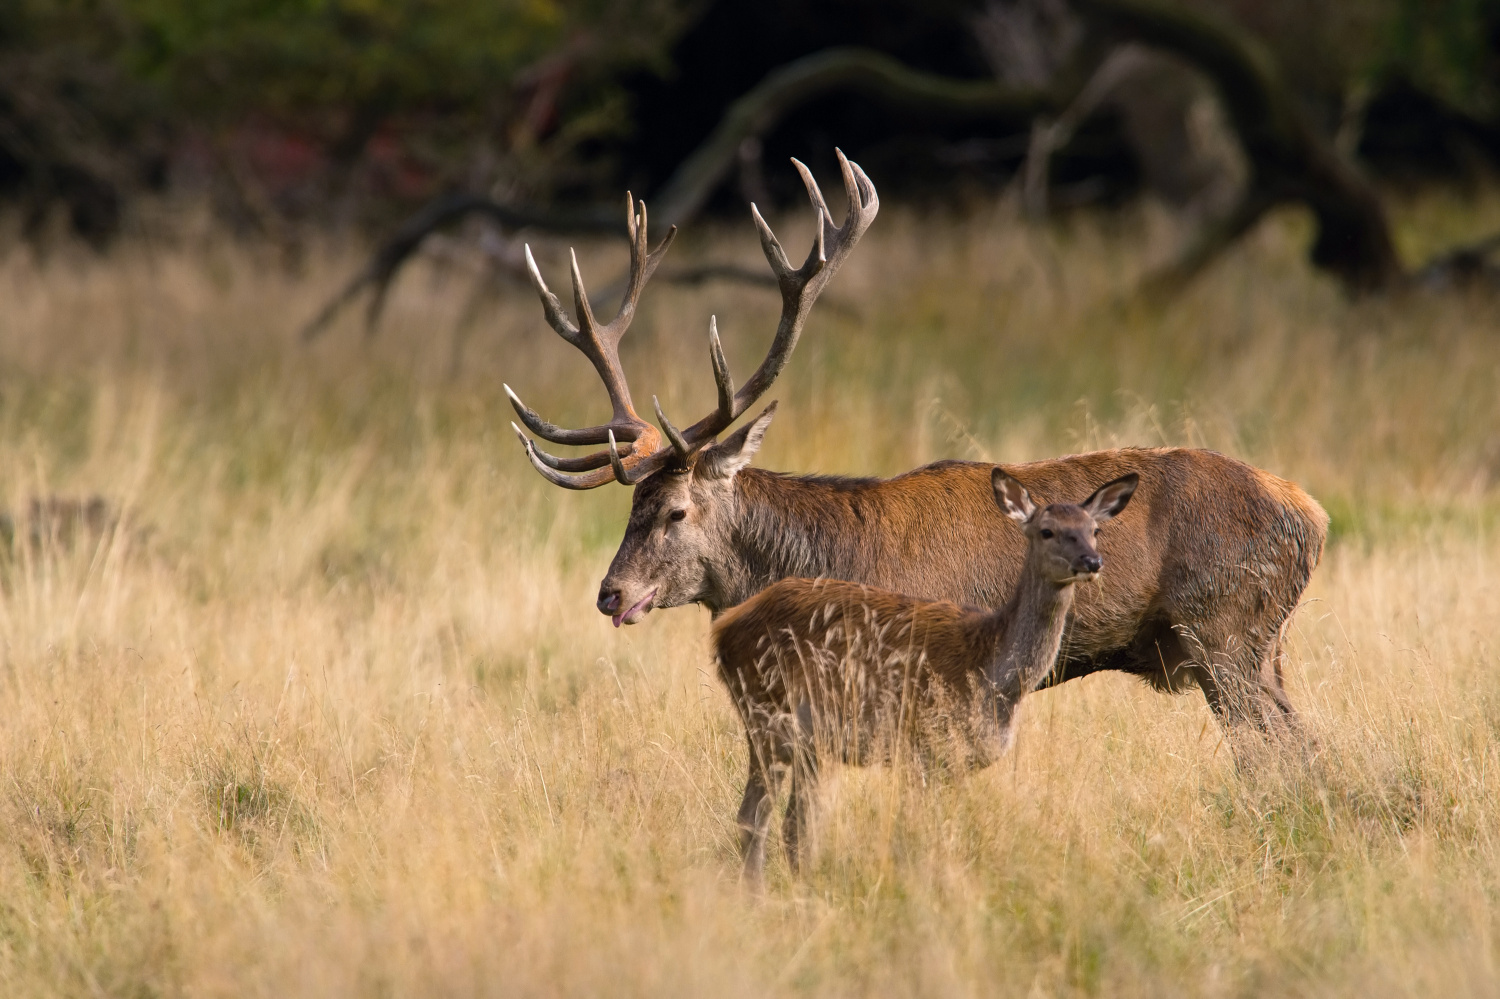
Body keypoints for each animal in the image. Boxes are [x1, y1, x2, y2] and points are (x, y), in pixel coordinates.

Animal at [708, 468, 1128, 882]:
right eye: (1047, 531)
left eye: (1094, 529)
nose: (1092, 561)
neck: (991, 673)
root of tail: (724, 630)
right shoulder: (920, 743)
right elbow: (917, 832)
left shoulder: (954, 763)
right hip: (765, 714)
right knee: (754, 817)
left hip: (810, 741)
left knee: (794, 823)